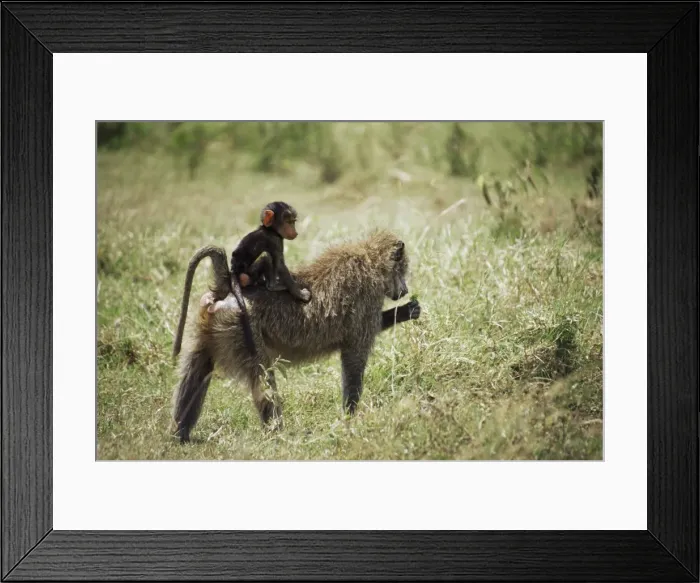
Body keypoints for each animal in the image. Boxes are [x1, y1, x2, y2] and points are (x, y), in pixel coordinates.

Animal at [171, 230, 420, 443]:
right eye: (402, 270)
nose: (405, 291)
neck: (371, 263)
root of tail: (227, 288)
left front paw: (409, 310)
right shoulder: (366, 302)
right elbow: (354, 361)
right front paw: (349, 420)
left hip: (210, 327)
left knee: (195, 372)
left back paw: (179, 435)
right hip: (242, 330)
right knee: (263, 379)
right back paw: (278, 435)